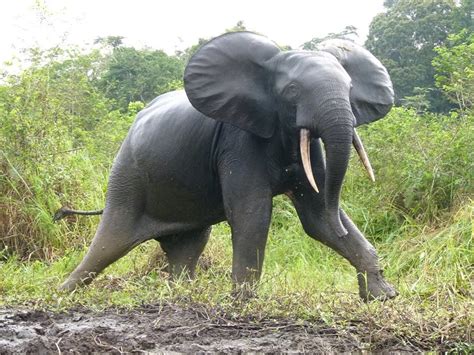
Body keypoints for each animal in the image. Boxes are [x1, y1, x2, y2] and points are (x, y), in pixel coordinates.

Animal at [61, 32, 398, 302]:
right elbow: (253, 214)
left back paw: (182, 296)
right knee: (109, 243)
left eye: (351, 87)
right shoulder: (238, 142)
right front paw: (244, 302)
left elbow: (316, 218)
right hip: (126, 177)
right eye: (292, 91)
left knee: (189, 244)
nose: (343, 228)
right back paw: (63, 293)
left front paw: (383, 297)